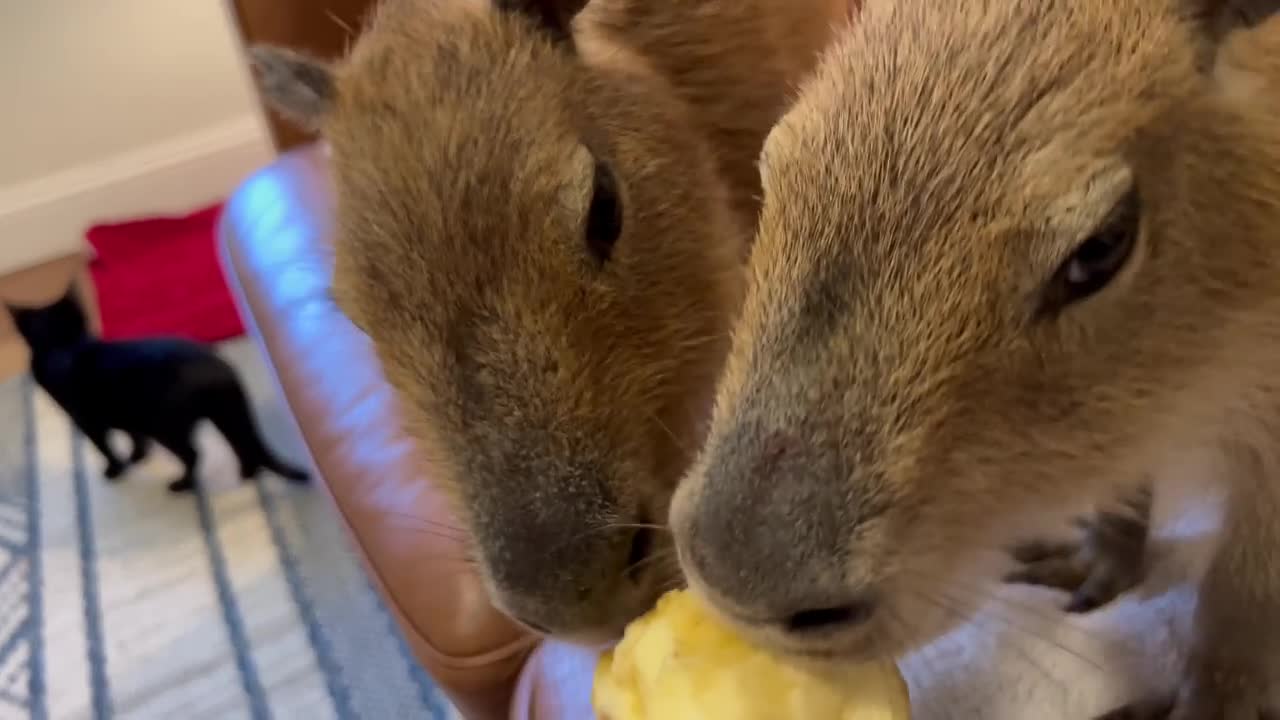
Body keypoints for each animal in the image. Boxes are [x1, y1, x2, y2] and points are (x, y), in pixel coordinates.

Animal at [7, 285, 309, 491]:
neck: (63, 345)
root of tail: (219, 369)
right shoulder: (124, 415)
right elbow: (134, 437)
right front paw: (137, 457)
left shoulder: (86, 420)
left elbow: (105, 447)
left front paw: (114, 470)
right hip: (225, 415)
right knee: (243, 446)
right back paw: (245, 475)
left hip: (167, 425)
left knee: (193, 453)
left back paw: (181, 485)